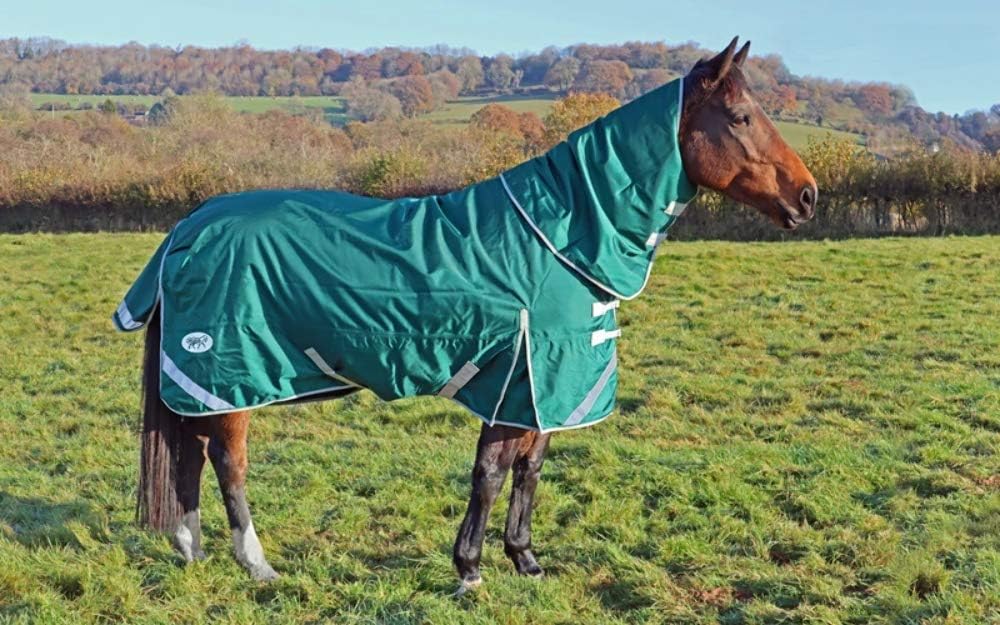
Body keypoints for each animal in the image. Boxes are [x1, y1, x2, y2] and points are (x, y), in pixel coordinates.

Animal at [122, 37, 817, 591]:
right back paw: (256, 563)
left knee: (188, 452)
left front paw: (526, 560)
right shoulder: (516, 382)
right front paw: (470, 569)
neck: (556, 238)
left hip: (206, 387)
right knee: (226, 462)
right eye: (741, 116)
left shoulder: (543, 389)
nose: (807, 196)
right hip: (229, 376)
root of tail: (188, 228)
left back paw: (191, 549)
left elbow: (529, 471)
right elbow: (490, 473)